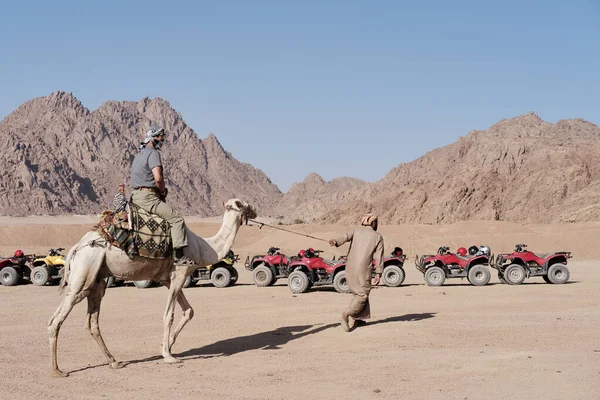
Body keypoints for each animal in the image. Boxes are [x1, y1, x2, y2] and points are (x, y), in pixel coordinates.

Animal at [48, 198, 255, 376]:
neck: (203, 247)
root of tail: (77, 246)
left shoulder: (167, 279)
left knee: (91, 322)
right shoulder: (180, 273)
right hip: (84, 274)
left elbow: (189, 311)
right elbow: (168, 315)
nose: (254, 209)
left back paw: (114, 361)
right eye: (243, 204)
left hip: (96, 281)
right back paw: (57, 370)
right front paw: (168, 356)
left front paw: (166, 346)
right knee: (56, 319)